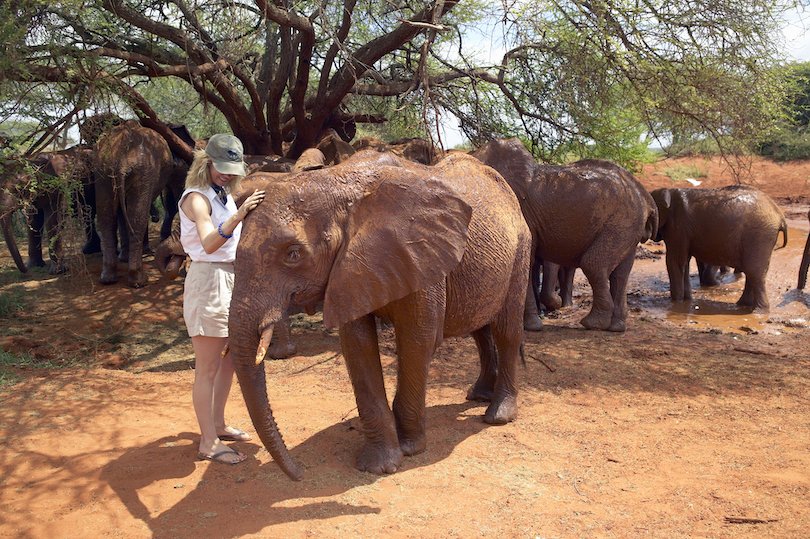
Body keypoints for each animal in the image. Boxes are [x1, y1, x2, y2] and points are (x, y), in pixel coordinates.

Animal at [93, 121, 172, 288]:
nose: (156, 217)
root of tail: (121, 158)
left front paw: (124, 258)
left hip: (102, 172)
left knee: (106, 218)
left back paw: (108, 278)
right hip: (143, 171)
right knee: (137, 218)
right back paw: (139, 280)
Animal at [227, 149, 532, 480]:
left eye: (293, 254)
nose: (299, 474)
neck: (335, 182)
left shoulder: (419, 252)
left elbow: (417, 340)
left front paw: (410, 447)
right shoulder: (346, 269)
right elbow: (357, 345)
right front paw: (378, 465)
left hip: (521, 248)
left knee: (506, 329)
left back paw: (498, 415)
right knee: (479, 328)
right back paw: (478, 395)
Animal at [474, 138, 656, 334]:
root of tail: (645, 196)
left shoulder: (524, 213)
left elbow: (526, 260)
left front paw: (532, 326)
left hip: (621, 222)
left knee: (593, 264)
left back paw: (592, 324)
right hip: (628, 226)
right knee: (620, 273)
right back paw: (616, 327)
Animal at [652, 187, 788, 310]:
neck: (668, 192)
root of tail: (780, 215)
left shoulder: (677, 227)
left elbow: (674, 261)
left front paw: (677, 303)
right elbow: (684, 261)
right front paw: (686, 301)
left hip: (759, 235)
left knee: (754, 272)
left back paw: (758, 311)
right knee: (752, 272)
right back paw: (743, 305)